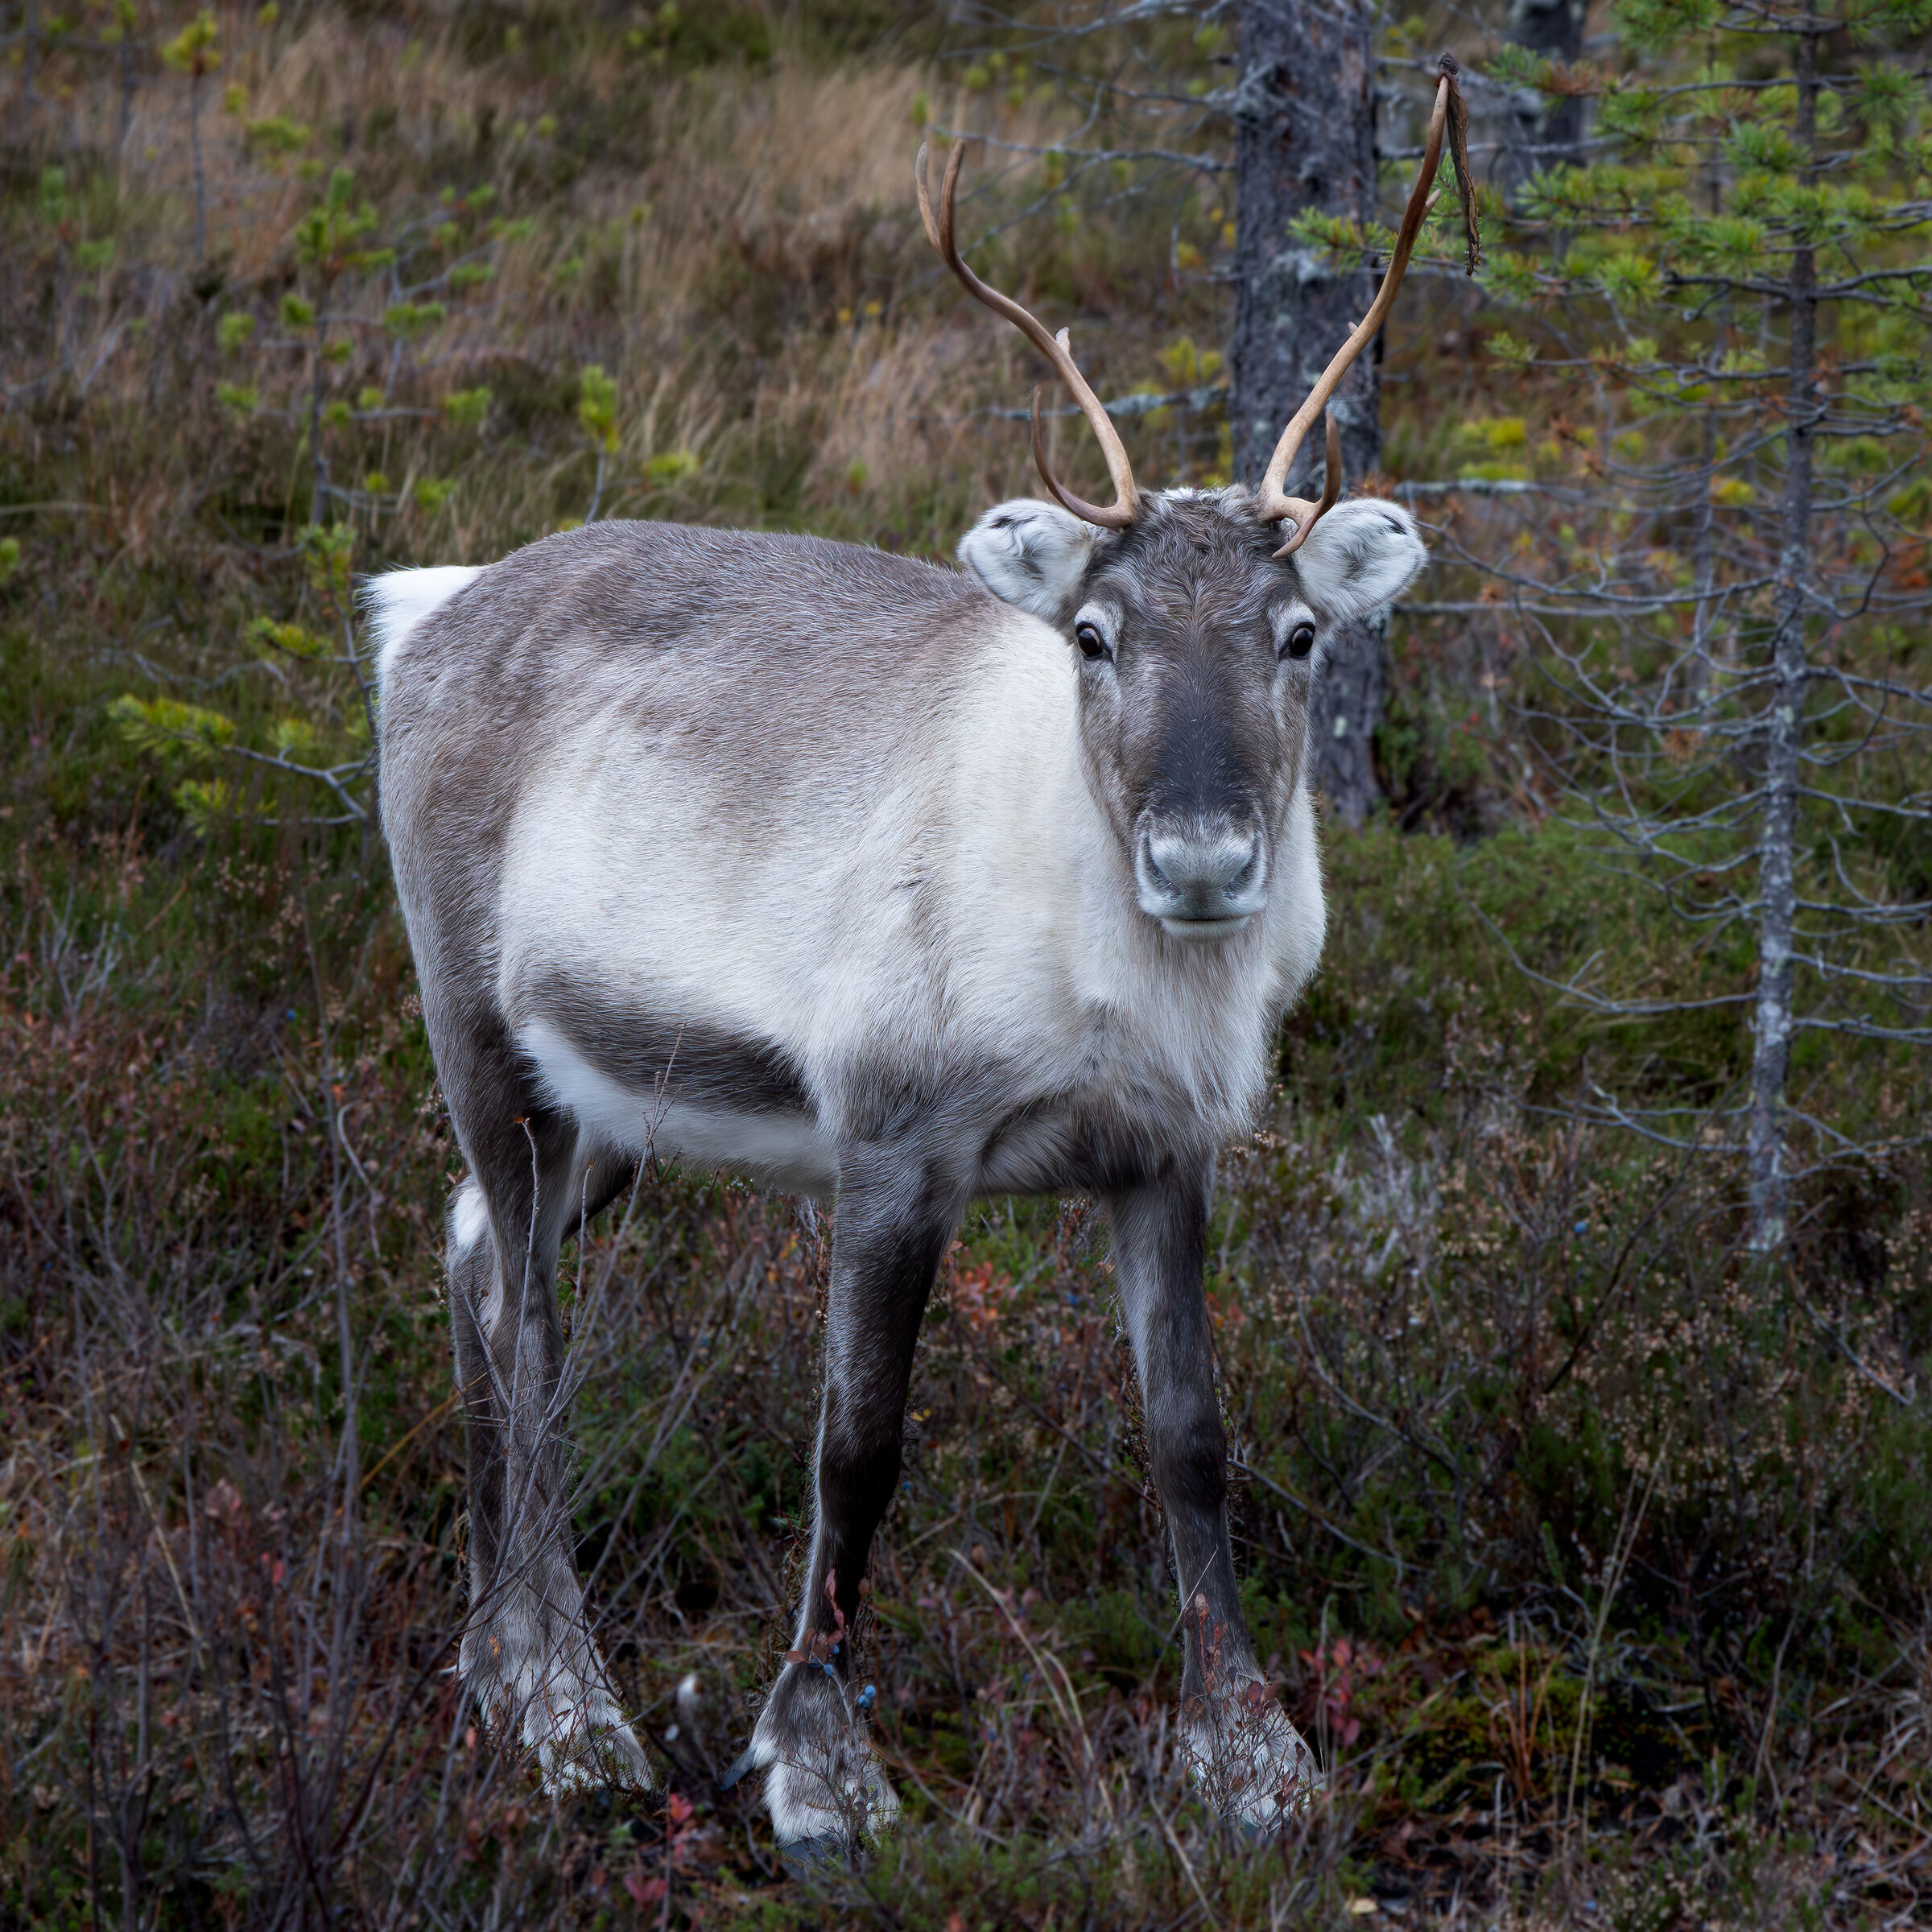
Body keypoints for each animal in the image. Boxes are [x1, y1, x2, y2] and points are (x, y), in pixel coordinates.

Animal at [370, 70, 1462, 1858]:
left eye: (1300, 635)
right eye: (1095, 634)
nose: (1203, 863)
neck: (1115, 978)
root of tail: (422, 611)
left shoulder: (1165, 1152)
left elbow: (1193, 1440)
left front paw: (1251, 1754)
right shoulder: (895, 1137)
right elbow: (857, 1448)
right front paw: (818, 1765)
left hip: (610, 1100)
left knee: (473, 1262)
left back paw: (495, 1662)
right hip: (480, 1037)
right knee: (531, 1329)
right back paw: (571, 1714)